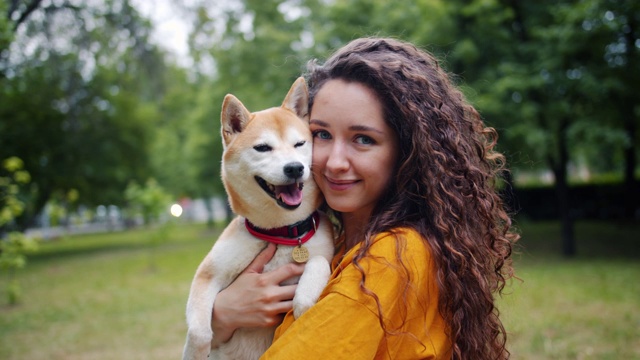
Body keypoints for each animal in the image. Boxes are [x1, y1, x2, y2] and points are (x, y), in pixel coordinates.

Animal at [181, 77, 336, 358]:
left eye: (300, 144)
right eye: (263, 148)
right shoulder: (208, 274)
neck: (281, 232)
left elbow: (318, 263)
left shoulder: (323, 251)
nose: (294, 168)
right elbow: (199, 333)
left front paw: (304, 301)